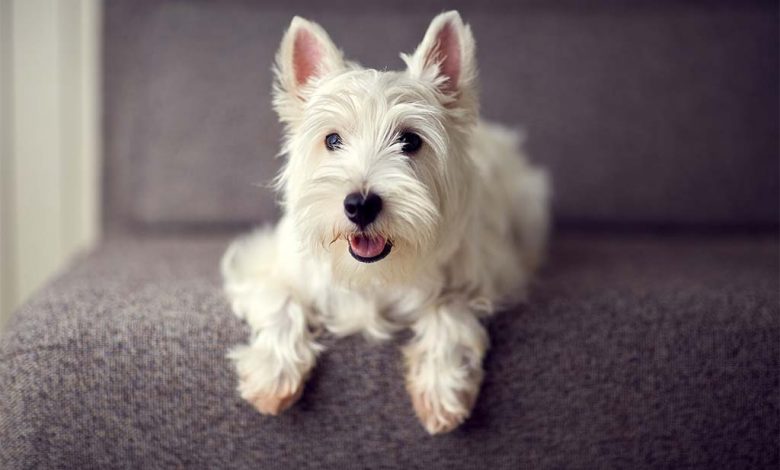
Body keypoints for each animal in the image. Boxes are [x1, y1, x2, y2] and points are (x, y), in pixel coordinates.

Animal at [221, 11, 548, 436]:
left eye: (410, 141)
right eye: (332, 140)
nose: (360, 205)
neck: (372, 276)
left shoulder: (486, 279)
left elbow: (449, 310)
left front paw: (442, 388)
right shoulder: (261, 263)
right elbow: (281, 300)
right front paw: (271, 372)